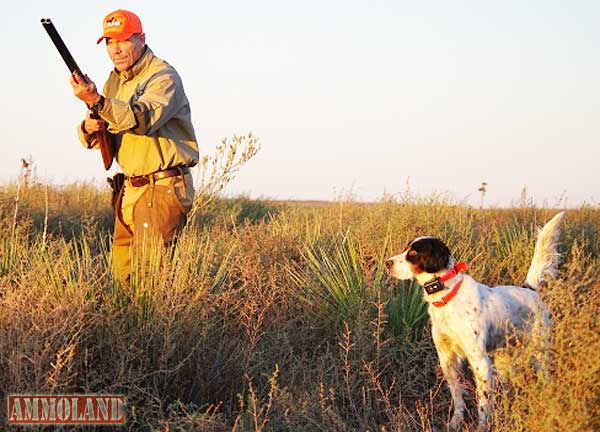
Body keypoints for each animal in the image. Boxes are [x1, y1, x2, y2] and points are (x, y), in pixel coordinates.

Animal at [386, 212, 564, 428]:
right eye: (406, 249)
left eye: (413, 253)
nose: (387, 263)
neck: (447, 298)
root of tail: (530, 290)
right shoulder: (447, 358)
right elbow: (457, 396)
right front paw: (456, 421)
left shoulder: (480, 361)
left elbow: (483, 404)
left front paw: (482, 426)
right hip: (504, 358)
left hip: (539, 352)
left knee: (545, 378)